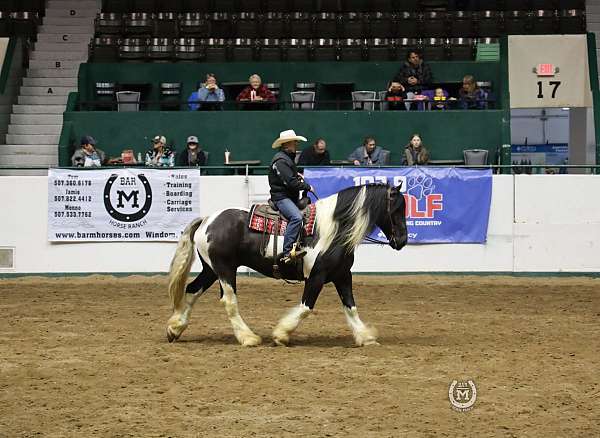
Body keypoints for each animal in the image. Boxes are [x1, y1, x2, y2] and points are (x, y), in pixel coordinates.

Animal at [165, 181, 408, 346]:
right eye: (396, 208)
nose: (403, 240)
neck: (333, 230)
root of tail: (207, 220)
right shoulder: (316, 277)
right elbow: (306, 308)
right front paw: (281, 334)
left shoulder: (342, 275)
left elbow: (351, 307)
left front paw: (365, 336)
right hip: (224, 269)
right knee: (229, 301)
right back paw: (248, 337)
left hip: (211, 270)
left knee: (191, 290)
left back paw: (175, 328)